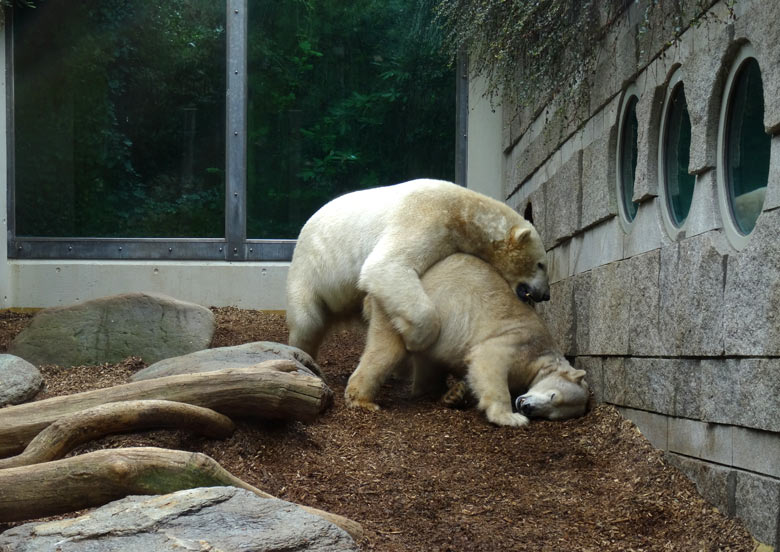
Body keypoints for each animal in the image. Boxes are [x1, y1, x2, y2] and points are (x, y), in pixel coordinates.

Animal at [286, 178, 548, 358]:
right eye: (541, 264)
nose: (545, 295)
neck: (463, 212)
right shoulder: (424, 215)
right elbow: (387, 264)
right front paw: (415, 338)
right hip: (309, 270)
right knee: (307, 320)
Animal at [344, 254, 588, 426]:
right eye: (553, 396)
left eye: (551, 415)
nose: (526, 407)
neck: (543, 355)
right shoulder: (520, 340)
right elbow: (488, 361)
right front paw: (511, 418)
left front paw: (457, 394)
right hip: (403, 310)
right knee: (387, 351)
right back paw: (362, 400)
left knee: (429, 363)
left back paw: (442, 392)